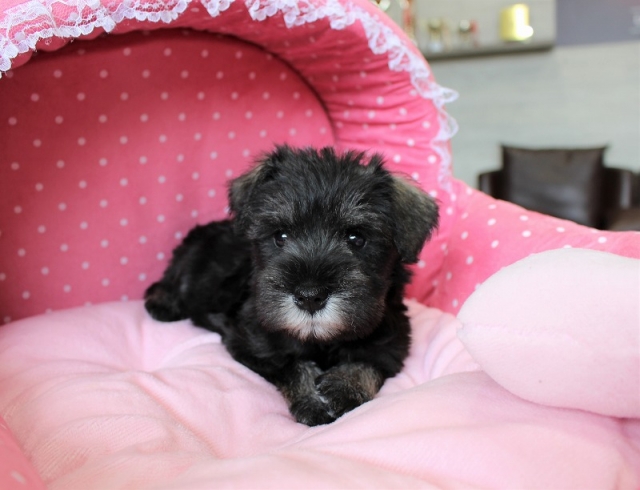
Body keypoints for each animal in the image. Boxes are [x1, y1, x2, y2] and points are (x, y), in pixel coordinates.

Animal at [144, 145, 439, 426]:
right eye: (280, 236)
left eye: (357, 238)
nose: (310, 297)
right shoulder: (253, 344)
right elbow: (293, 365)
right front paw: (312, 399)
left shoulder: (391, 344)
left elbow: (365, 362)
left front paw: (344, 387)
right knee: (165, 285)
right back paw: (163, 305)